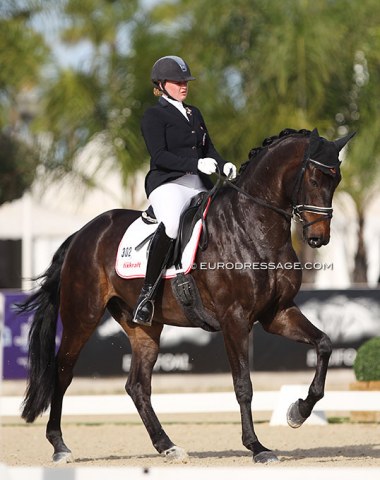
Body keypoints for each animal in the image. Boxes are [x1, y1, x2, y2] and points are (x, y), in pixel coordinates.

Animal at [19, 127, 354, 464]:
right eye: (314, 178)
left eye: (336, 179)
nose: (319, 238)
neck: (253, 227)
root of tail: (82, 234)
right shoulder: (234, 319)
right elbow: (243, 385)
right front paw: (257, 447)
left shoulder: (278, 313)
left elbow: (324, 344)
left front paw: (298, 412)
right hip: (82, 317)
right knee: (62, 373)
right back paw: (60, 446)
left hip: (144, 326)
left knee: (137, 385)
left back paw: (167, 446)